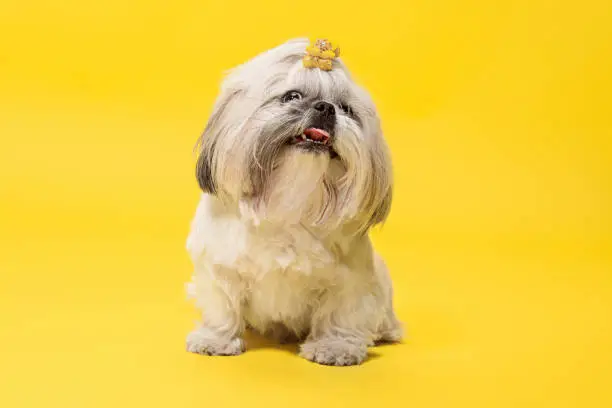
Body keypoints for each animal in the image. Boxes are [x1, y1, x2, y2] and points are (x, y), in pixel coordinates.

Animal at [185, 38, 402, 364]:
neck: (290, 200)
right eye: (292, 96)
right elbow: (222, 307)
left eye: (346, 109)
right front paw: (215, 339)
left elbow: (341, 313)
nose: (325, 107)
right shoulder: (219, 267)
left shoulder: (351, 280)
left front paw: (334, 347)